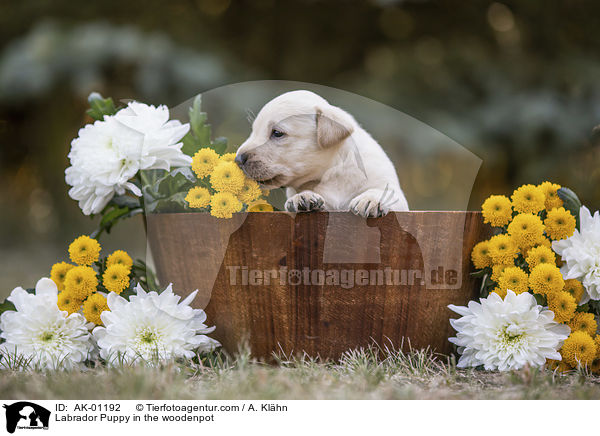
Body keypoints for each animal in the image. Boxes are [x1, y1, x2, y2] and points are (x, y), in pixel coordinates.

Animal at [234, 90, 408, 216]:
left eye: (277, 133)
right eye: (254, 131)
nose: (238, 159)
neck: (333, 172)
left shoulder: (393, 191)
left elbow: (383, 191)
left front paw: (370, 199)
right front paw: (302, 197)